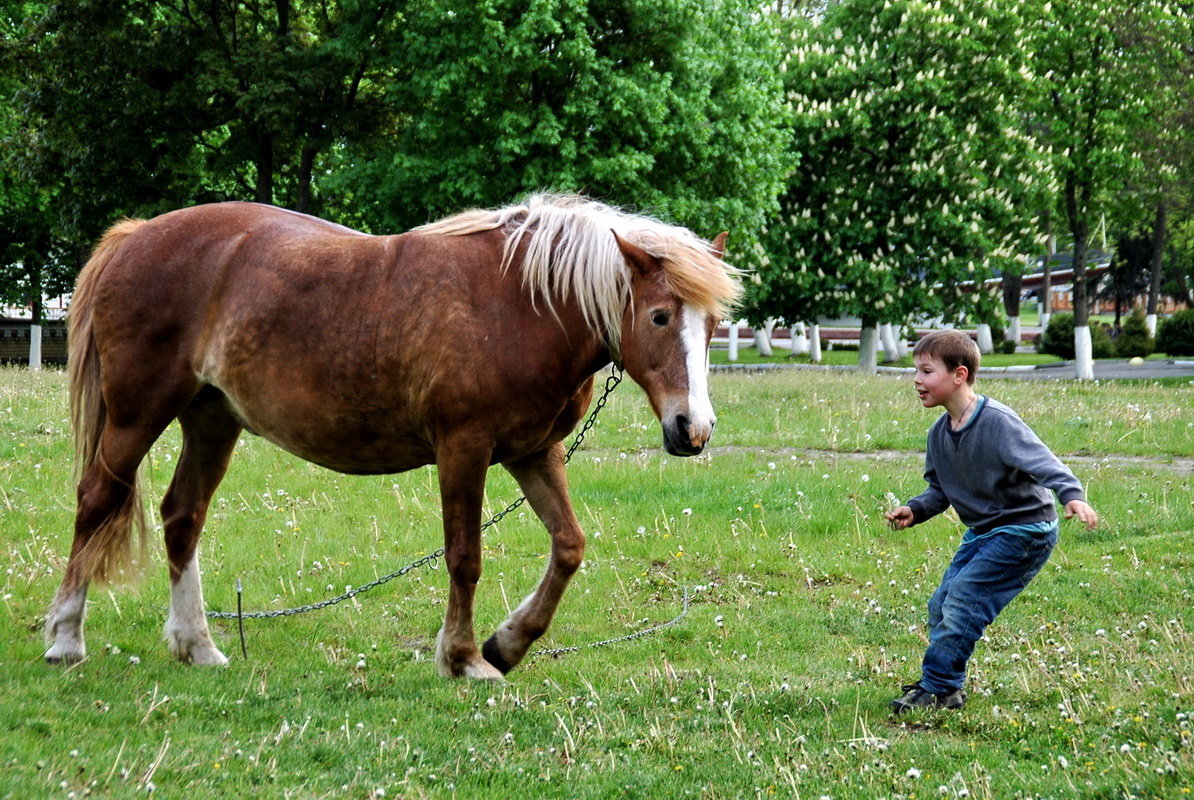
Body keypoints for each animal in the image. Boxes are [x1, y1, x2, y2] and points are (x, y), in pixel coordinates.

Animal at [46, 194, 740, 678]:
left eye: (712, 327)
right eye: (659, 316)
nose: (694, 429)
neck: (522, 304)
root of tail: (135, 236)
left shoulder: (532, 452)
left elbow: (569, 546)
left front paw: (508, 644)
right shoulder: (464, 450)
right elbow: (464, 558)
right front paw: (464, 658)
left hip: (212, 420)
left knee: (182, 515)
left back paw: (198, 646)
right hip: (137, 415)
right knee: (96, 499)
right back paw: (65, 638)